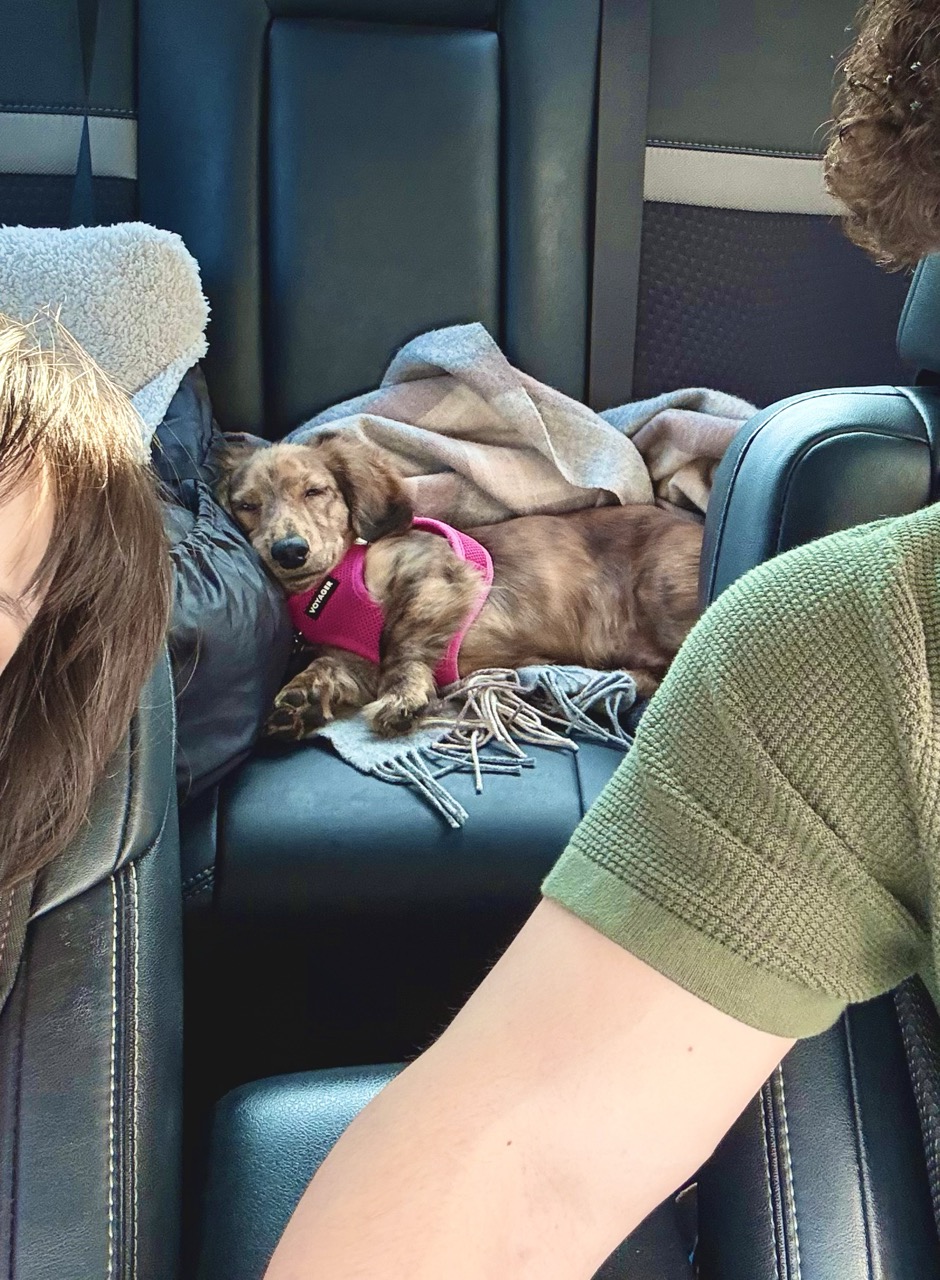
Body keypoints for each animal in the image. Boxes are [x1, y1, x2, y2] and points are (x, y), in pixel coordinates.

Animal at [215, 433, 704, 739]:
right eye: (246, 506)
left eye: (315, 492)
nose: (289, 551)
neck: (328, 586)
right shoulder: (352, 659)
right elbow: (330, 667)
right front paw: (300, 699)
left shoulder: (433, 573)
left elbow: (400, 644)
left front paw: (404, 697)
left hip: (660, 593)